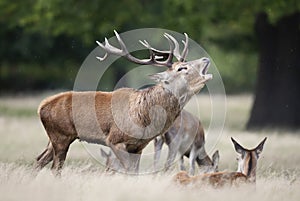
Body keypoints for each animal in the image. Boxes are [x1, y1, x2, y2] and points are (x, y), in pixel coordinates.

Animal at [34, 31, 213, 174]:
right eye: (181, 68)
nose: (206, 58)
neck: (144, 116)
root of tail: (41, 106)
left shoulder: (138, 147)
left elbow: (134, 171)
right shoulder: (115, 140)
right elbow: (126, 170)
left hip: (55, 138)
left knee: (39, 160)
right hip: (60, 136)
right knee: (55, 168)